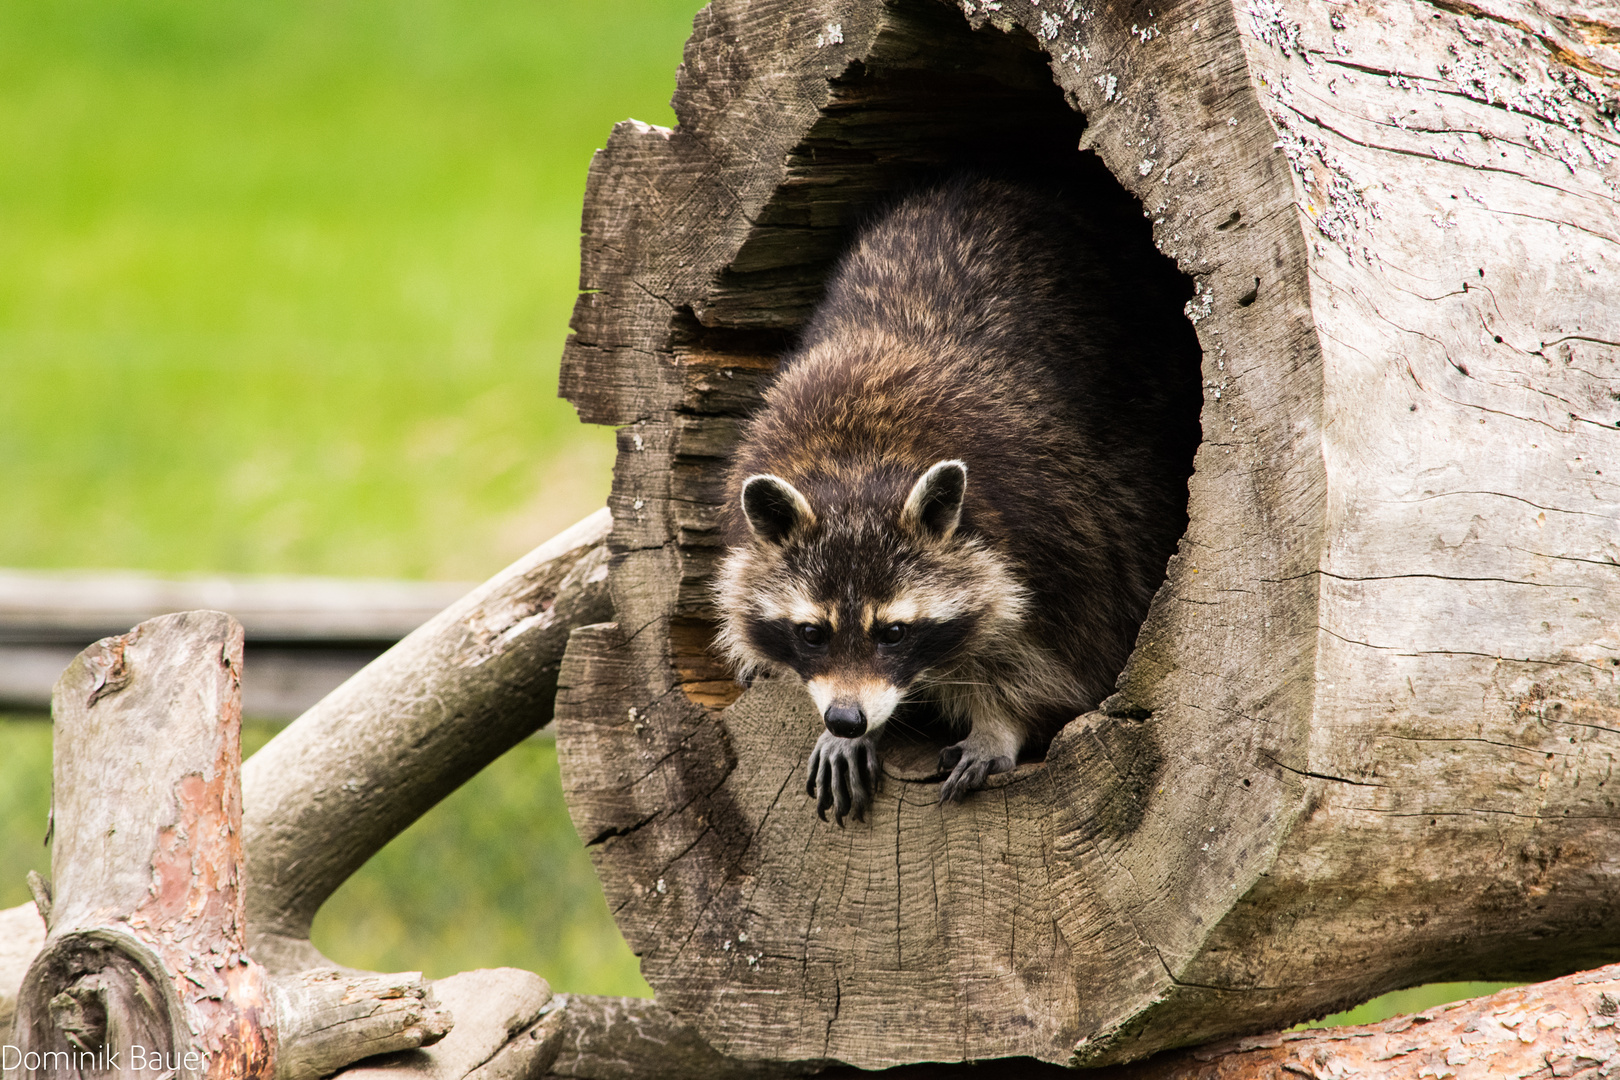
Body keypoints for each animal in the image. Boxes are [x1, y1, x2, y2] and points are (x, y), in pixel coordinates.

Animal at [712, 173, 1205, 822]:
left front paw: (1002, 723)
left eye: (894, 632)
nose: (846, 719)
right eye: (812, 633)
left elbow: (1066, 656)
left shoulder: (1061, 528)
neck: (856, 467)